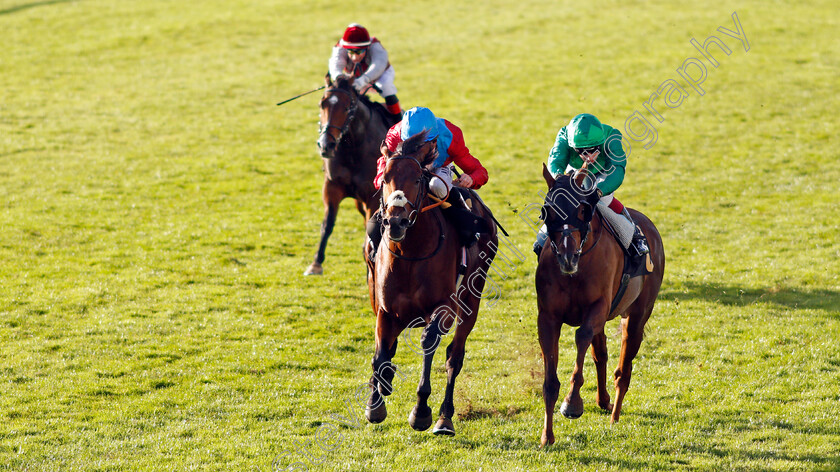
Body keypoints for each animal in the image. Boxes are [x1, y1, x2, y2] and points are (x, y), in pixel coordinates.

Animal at [304, 74, 398, 276]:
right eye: (322, 104)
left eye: (347, 107)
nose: (326, 145)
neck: (353, 147)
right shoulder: (332, 187)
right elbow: (327, 224)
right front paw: (316, 263)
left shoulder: (372, 197)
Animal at [362, 131, 496, 436]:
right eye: (385, 179)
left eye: (416, 180)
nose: (396, 221)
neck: (410, 254)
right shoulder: (384, 309)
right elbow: (380, 354)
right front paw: (375, 403)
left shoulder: (445, 307)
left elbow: (429, 341)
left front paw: (421, 411)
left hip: (472, 300)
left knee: (454, 357)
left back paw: (445, 418)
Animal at [540, 163, 664, 446]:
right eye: (548, 210)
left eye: (582, 209)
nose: (566, 257)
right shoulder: (547, 318)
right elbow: (550, 381)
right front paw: (547, 436)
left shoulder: (597, 308)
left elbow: (581, 336)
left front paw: (572, 402)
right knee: (601, 352)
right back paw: (603, 400)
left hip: (637, 316)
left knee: (623, 369)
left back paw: (614, 416)